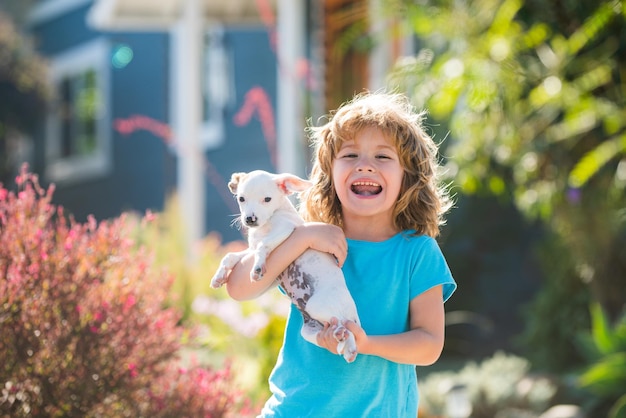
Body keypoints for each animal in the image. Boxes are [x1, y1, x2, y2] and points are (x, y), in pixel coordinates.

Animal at [210, 170, 358, 362]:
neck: (267, 224)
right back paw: (343, 342)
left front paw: (257, 267)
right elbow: (230, 257)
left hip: (318, 306)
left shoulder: (284, 230)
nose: (250, 219)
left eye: (267, 199)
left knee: (346, 326)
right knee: (335, 332)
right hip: (310, 329)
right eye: (241, 199)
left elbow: (262, 245)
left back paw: (344, 337)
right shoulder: (249, 250)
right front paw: (218, 277)